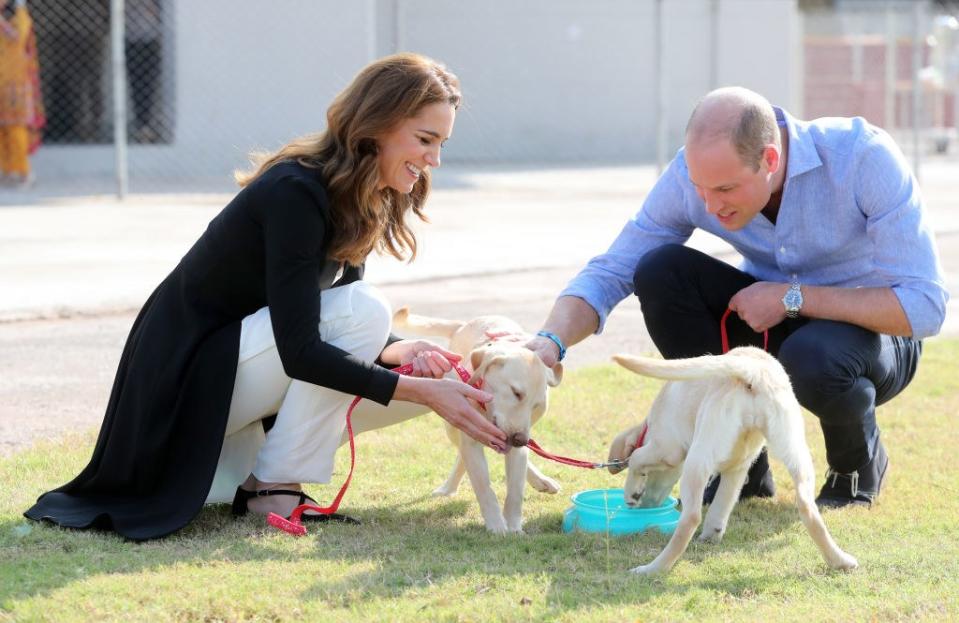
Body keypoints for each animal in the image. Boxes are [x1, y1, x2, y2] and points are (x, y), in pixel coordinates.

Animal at [394, 308, 568, 532]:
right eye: (516, 393)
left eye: (537, 405)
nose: (519, 439)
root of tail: (463, 324)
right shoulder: (469, 433)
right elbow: (484, 486)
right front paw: (497, 526)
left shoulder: (518, 441)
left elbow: (515, 490)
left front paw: (514, 528)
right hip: (451, 425)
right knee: (462, 453)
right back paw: (448, 488)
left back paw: (540, 480)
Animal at [612, 346, 860, 576]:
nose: (645, 505)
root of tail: (753, 371)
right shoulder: (738, 469)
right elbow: (721, 505)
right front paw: (712, 534)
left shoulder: (667, 448)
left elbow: (636, 458)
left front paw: (631, 492)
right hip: (796, 449)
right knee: (809, 509)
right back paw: (841, 561)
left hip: (698, 457)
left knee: (690, 517)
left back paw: (652, 568)